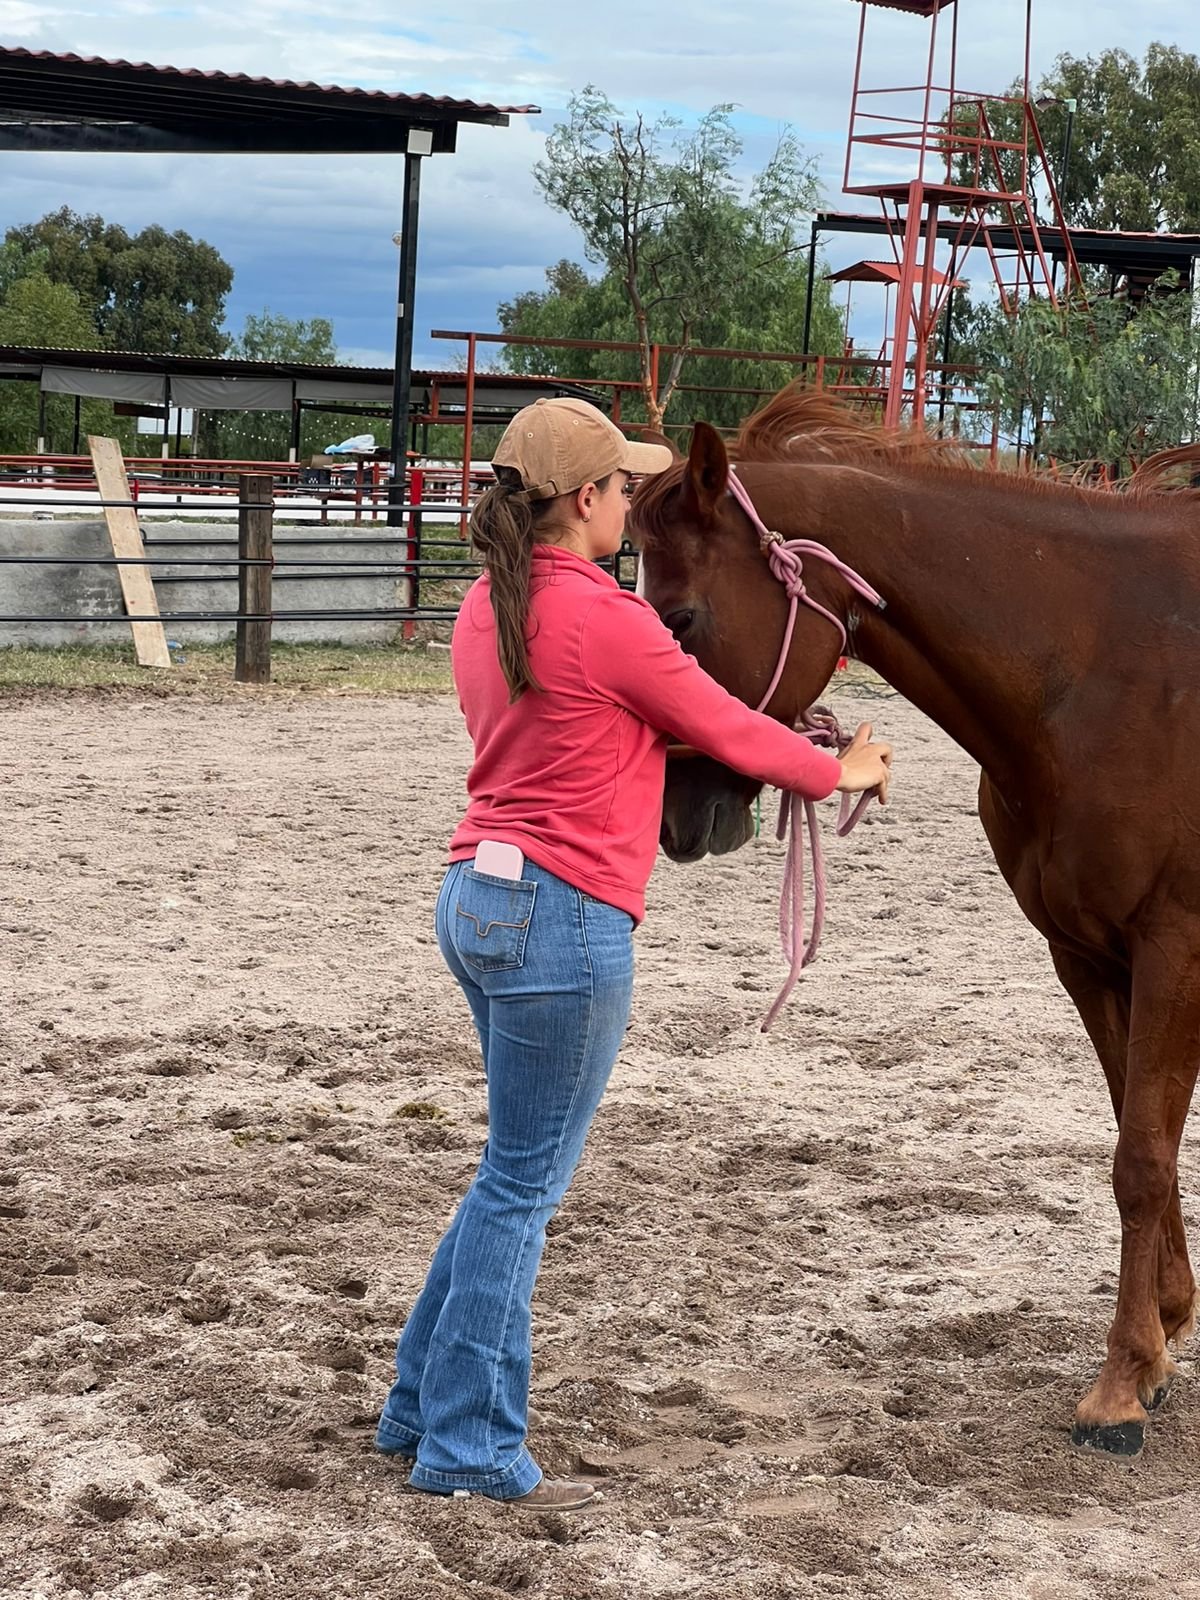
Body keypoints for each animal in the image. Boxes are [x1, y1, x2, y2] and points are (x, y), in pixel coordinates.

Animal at [629, 385, 1200, 1459]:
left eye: (681, 616)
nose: (678, 817)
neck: (1111, 663)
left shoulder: (1173, 952)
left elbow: (1143, 1158)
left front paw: (1117, 1387)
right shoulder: (1088, 958)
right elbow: (1136, 1138)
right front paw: (1162, 1335)